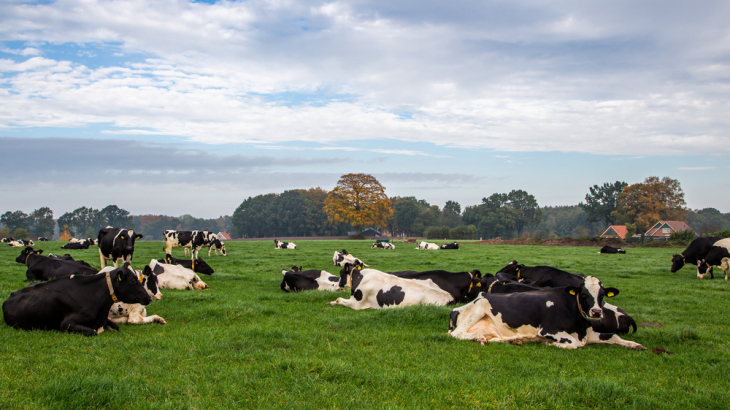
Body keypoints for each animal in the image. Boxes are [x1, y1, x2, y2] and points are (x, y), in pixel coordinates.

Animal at [2, 262, 151, 336]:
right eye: (133, 280)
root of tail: (11, 295)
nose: (149, 298)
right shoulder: (66, 324)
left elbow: (115, 326)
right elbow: (93, 331)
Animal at [444, 276, 644, 350]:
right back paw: (479, 338)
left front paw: (635, 344)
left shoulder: (588, 333)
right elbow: (573, 344)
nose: (596, 312)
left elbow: (613, 336)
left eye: (601, 295)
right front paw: (550, 344)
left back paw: (512, 340)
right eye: (584, 294)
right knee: (457, 333)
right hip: (479, 309)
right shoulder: (548, 330)